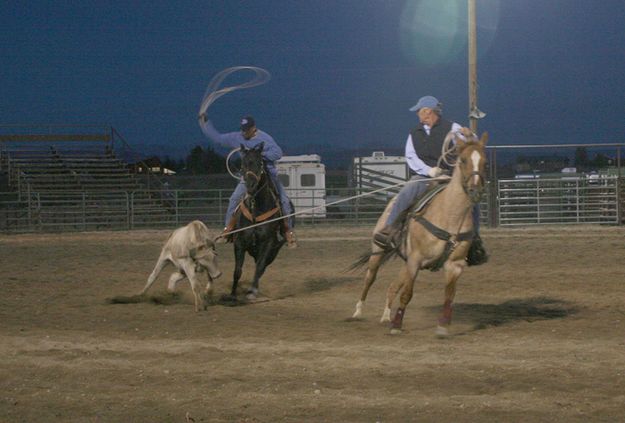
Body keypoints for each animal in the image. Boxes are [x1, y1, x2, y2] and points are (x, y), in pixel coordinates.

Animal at [225, 144, 286, 304]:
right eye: (243, 164)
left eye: (260, 163)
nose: (251, 185)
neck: (256, 210)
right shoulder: (239, 242)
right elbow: (237, 270)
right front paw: (232, 295)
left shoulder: (268, 243)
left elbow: (259, 268)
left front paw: (251, 292)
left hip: (273, 251)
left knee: (261, 267)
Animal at [352, 133, 488, 338]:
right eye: (463, 160)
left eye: (484, 162)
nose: (475, 191)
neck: (449, 215)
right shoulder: (415, 259)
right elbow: (407, 294)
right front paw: (397, 326)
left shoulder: (454, 265)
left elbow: (449, 296)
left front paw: (443, 326)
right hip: (379, 251)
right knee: (370, 277)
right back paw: (359, 311)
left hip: (405, 261)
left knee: (393, 285)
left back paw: (386, 316)